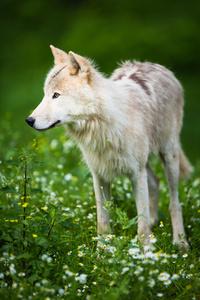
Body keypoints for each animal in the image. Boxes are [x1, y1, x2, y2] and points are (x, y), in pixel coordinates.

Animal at [25, 45, 191, 250]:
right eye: (45, 94)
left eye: (56, 95)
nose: (29, 120)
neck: (103, 127)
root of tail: (156, 65)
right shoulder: (100, 175)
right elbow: (102, 221)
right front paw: (102, 253)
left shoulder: (136, 174)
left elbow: (142, 226)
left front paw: (146, 254)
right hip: (146, 164)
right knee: (155, 182)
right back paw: (155, 225)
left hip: (168, 157)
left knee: (175, 202)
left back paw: (180, 242)